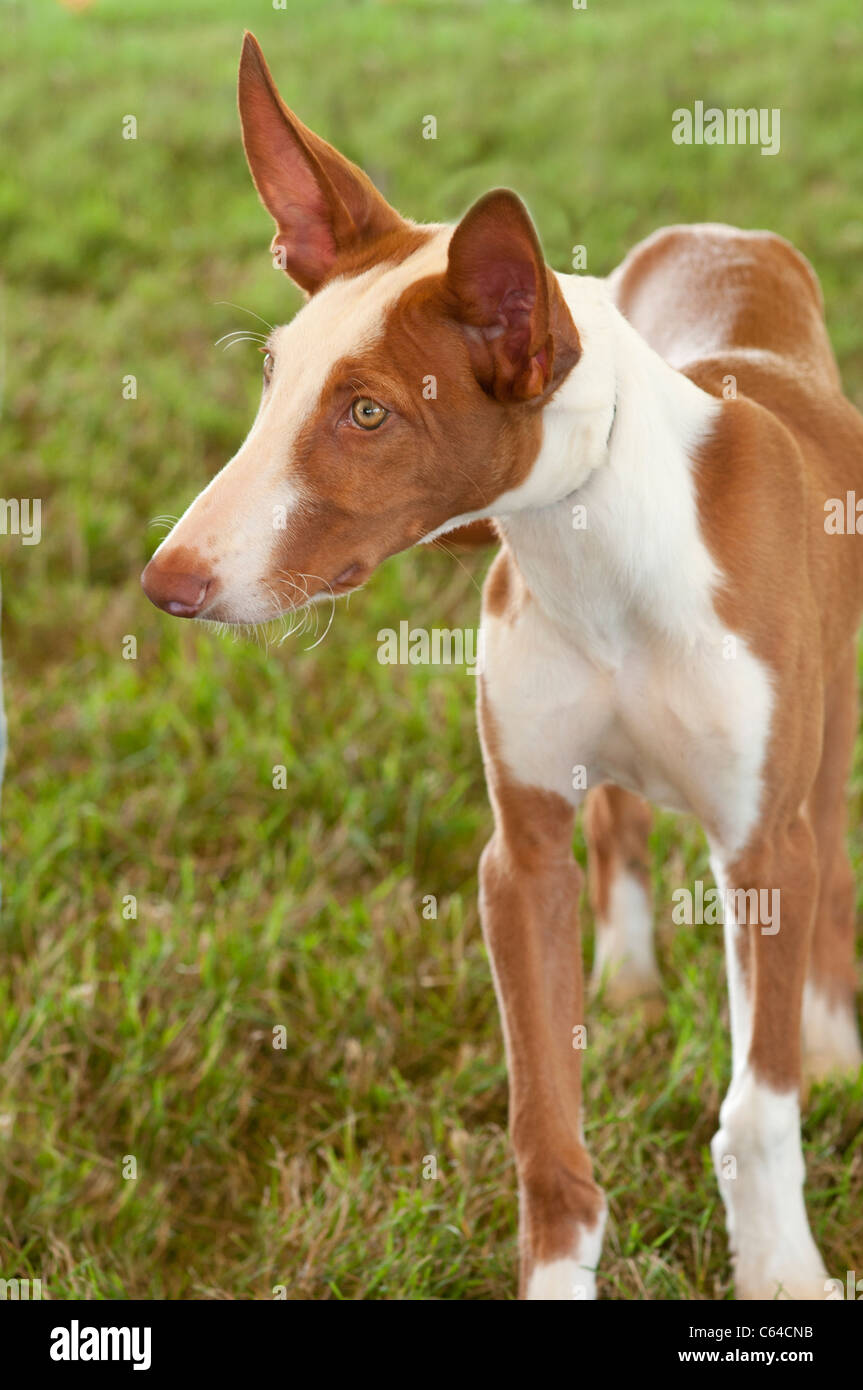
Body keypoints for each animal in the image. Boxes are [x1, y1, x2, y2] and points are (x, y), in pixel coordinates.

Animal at [143, 27, 861, 1295]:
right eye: (274, 379)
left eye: (367, 414)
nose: (166, 582)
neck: (594, 542)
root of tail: (721, 234)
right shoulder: (518, 857)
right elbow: (544, 1127)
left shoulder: (758, 849)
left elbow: (755, 1106)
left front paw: (781, 1268)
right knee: (619, 819)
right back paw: (627, 983)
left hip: (822, 739)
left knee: (827, 848)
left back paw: (827, 1033)